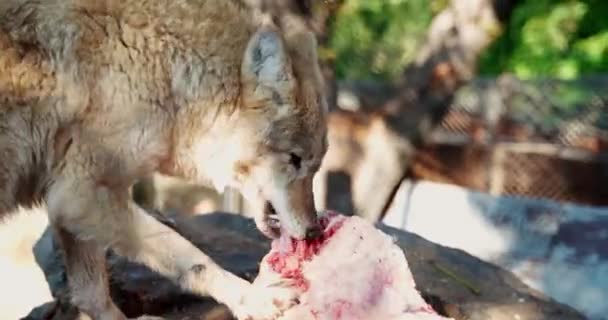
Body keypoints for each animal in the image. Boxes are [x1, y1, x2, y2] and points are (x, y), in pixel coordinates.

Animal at [0, 1, 328, 318]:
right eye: (295, 159)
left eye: (315, 167)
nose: (315, 230)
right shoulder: (81, 195)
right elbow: (186, 251)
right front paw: (253, 298)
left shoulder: (69, 205)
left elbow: (92, 296)